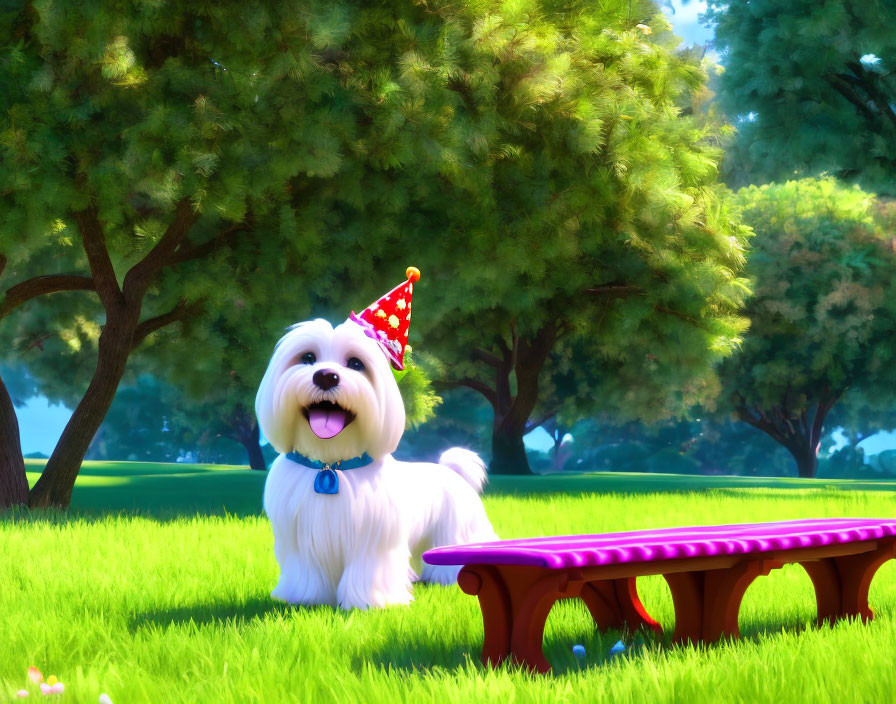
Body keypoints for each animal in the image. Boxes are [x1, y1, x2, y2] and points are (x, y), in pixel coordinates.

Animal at [256, 316, 500, 608]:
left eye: (355, 363)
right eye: (307, 358)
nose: (325, 376)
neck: (331, 463)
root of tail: (451, 471)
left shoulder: (373, 537)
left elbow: (367, 570)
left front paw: (370, 603)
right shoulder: (300, 539)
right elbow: (307, 572)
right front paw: (304, 598)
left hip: (459, 531)